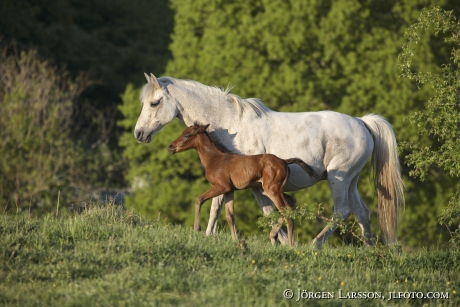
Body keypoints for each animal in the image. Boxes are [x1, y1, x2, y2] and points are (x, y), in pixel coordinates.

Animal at [168, 124, 316, 247]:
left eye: (187, 135)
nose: (171, 147)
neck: (214, 159)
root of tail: (284, 161)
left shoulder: (221, 187)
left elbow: (199, 199)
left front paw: (196, 229)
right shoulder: (229, 190)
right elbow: (230, 215)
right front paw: (236, 241)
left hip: (271, 189)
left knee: (286, 211)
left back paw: (290, 245)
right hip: (271, 189)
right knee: (291, 202)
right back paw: (274, 236)